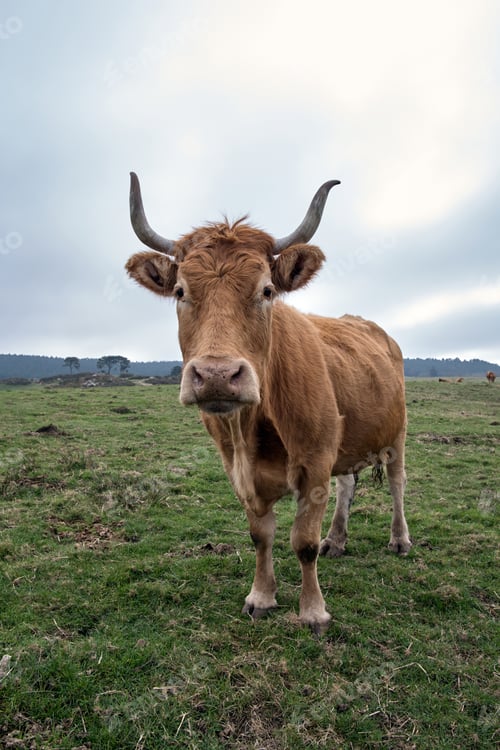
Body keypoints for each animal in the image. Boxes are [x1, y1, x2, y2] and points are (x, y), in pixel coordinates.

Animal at [126, 173, 411, 634]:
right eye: (181, 291)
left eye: (267, 290)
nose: (218, 375)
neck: (255, 428)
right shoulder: (239, 470)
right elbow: (262, 536)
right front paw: (261, 597)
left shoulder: (314, 464)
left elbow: (303, 542)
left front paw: (313, 611)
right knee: (348, 484)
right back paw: (337, 539)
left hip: (397, 433)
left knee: (399, 483)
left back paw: (400, 540)